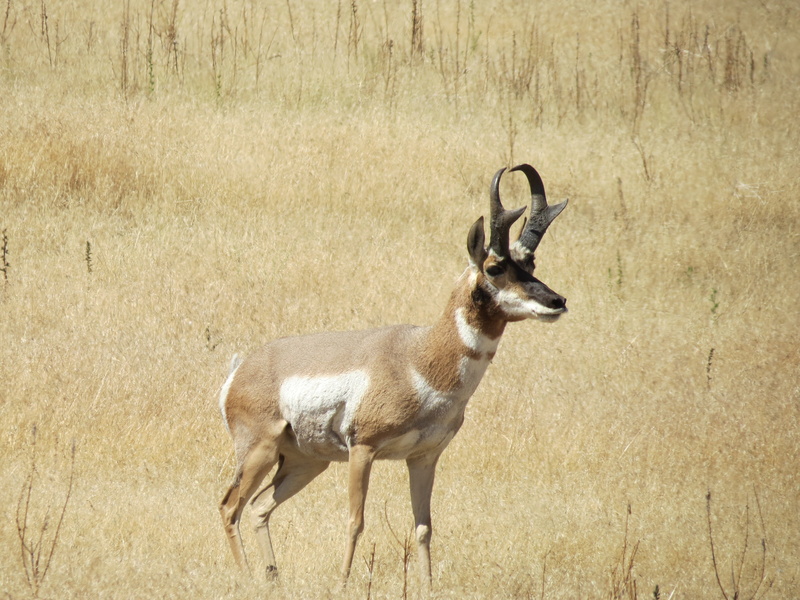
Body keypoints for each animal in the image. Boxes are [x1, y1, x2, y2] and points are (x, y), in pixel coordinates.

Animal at [218, 164, 568, 590]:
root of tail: (242, 368)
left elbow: (424, 527)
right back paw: (246, 578)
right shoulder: (363, 450)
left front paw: (428, 587)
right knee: (230, 506)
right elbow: (355, 521)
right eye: (495, 267)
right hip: (261, 451)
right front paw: (343, 584)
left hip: (305, 463)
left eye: (530, 263)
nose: (556, 301)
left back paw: (272, 578)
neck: (418, 358)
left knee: (258, 507)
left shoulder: (423, 458)